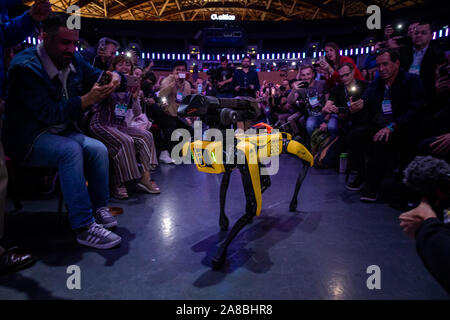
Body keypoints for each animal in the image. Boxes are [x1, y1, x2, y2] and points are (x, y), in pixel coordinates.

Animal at [177, 94, 312, 268]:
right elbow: (224, 188)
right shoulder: (232, 165)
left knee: (303, 154)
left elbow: (253, 206)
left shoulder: (243, 159)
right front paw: (224, 222)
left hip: (285, 144)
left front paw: (220, 253)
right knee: (269, 178)